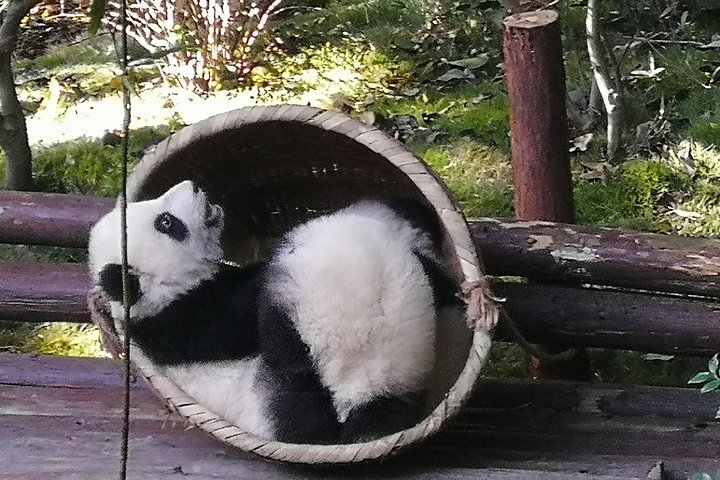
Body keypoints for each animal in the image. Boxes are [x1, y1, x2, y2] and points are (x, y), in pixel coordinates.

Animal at [88, 181, 462, 446]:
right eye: (166, 222)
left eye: (155, 210)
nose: (193, 185)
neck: (159, 292)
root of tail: (368, 393)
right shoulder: (184, 322)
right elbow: (240, 318)